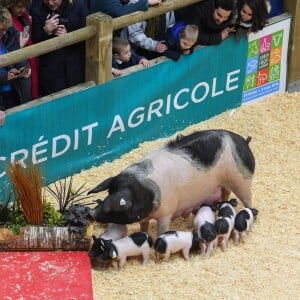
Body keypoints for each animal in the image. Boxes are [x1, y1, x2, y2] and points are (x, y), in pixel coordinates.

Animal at [88, 130, 254, 236]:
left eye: (115, 208)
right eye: (109, 193)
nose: (91, 213)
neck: (144, 190)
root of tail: (244, 143)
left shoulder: (166, 213)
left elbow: (162, 229)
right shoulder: (145, 217)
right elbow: (143, 226)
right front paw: (143, 233)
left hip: (242, 180)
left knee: (247, 200)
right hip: (225, 183)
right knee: (226, 193)